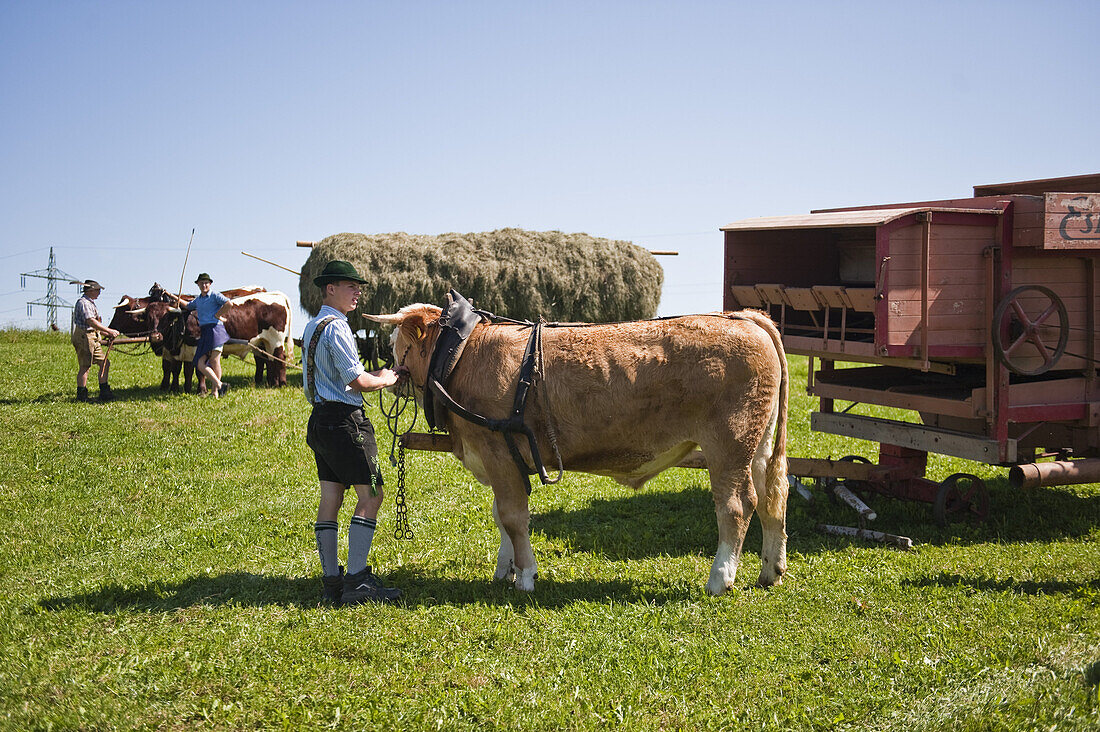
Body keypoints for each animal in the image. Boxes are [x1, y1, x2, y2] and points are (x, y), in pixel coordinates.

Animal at [369, 301, 792, 594]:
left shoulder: (497, 452)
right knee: (774, 498)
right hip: (757, 447)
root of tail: (743, 316)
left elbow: (513, 517)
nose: (386, 375)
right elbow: (501, 517)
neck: (464, 355)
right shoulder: (500, 462)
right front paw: (505, 568)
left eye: (394, 342)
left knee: (737, 506)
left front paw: (525, 575)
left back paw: (720, 578)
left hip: (728, 445)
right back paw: (770, 570)